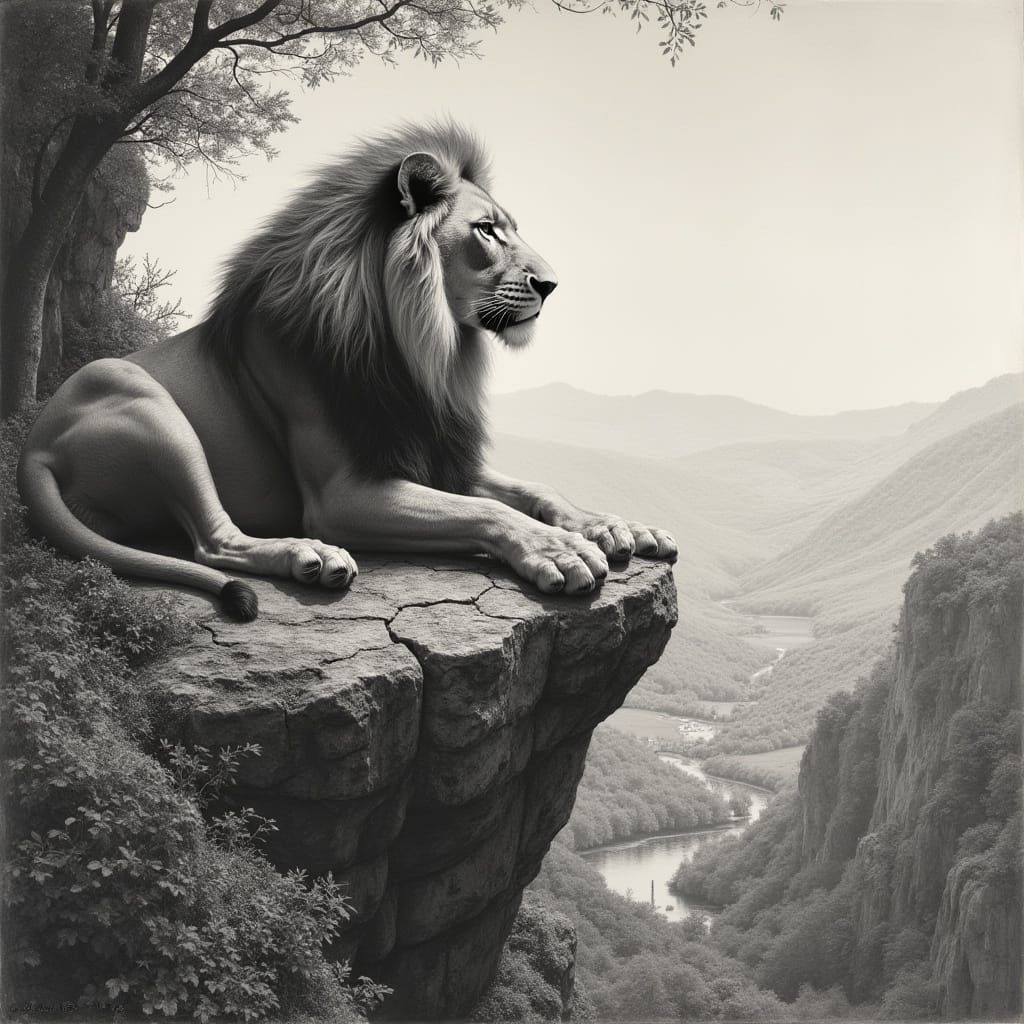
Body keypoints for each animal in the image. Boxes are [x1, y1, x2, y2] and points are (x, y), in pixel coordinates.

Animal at [18, 121, 677, 621]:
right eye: (487, 230)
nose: (552, 285)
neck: (422, 354)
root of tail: (34, 448)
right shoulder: (344, 495)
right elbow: (489, 511)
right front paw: (560, 550)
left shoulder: (434, 452)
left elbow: (535, 488)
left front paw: (616, 526)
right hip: (139, 397)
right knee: (213, 544)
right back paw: (309, 557)